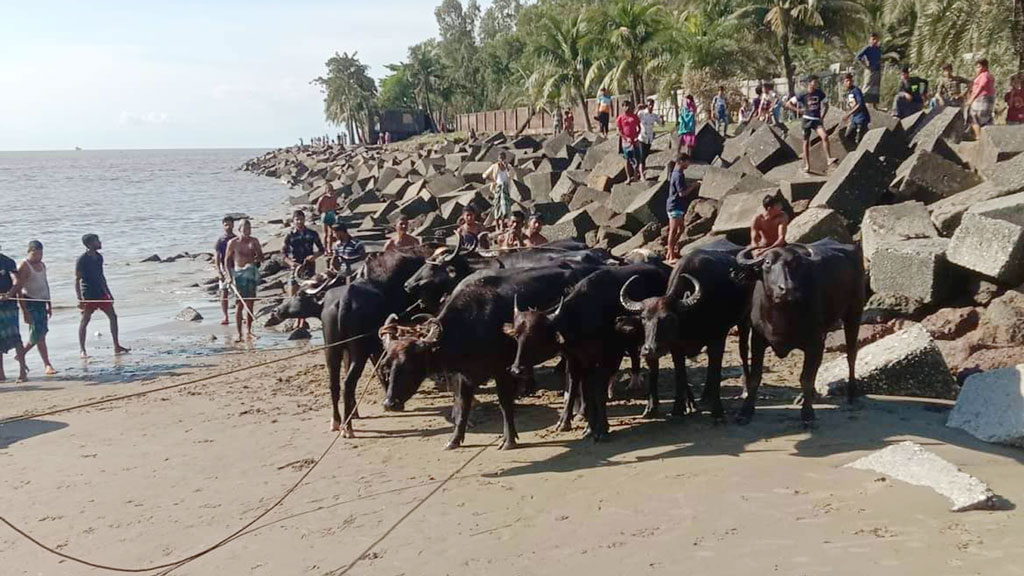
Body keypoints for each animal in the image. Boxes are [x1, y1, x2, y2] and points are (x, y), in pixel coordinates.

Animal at [264, 242, 432, 434]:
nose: (276, 311)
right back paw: (347, 426)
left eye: (300, 294)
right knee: (348, 382)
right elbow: (380, 368)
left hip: (332, 349)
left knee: (336, 383)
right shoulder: (377, 345)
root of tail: (344, 301)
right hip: (359, 351)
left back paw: (338, 421)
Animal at [378, 261, 598, 448]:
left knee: (574, 377)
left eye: (410, 365)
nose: (390, 404)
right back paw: (573, 415)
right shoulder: (464, 375)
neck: (471, 325)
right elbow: (462, 406)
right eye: (388, 366)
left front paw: (509, 439)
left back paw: (573, 415)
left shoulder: (502, 370)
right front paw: (454, 440)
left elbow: (504, 403)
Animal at [509, 262, 675, 436]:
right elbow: (575, 385)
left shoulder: (607, 357)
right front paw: (568, 420)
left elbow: (597, 390)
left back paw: (649, 405)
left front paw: (600, 427)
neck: (581, 316)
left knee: (651, 367)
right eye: (516, 335)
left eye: (536, 337)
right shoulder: (575, 359)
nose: (517, 370)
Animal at [614, 237, 753, 422]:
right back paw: (705, 395)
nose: (649, 349)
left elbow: (715, 371)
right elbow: (680, 375)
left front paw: (717, 411)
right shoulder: (676, 347)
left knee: (743, 351)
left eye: (669, 318)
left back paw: (745, 390)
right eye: (643, 318)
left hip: (745, 320)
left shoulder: (717, 340)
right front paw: (678, 409)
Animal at [737, 238, 864, 426]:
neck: (781, 316)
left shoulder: (813, 342)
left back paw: (852, 394)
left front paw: (808, 414)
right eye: (767, 263)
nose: (787, 288)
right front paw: (745, 411)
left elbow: (806, 378)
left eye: (795, 264)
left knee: (851, 354)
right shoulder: (758, 339)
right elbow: (755, 377)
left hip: (854, 312)